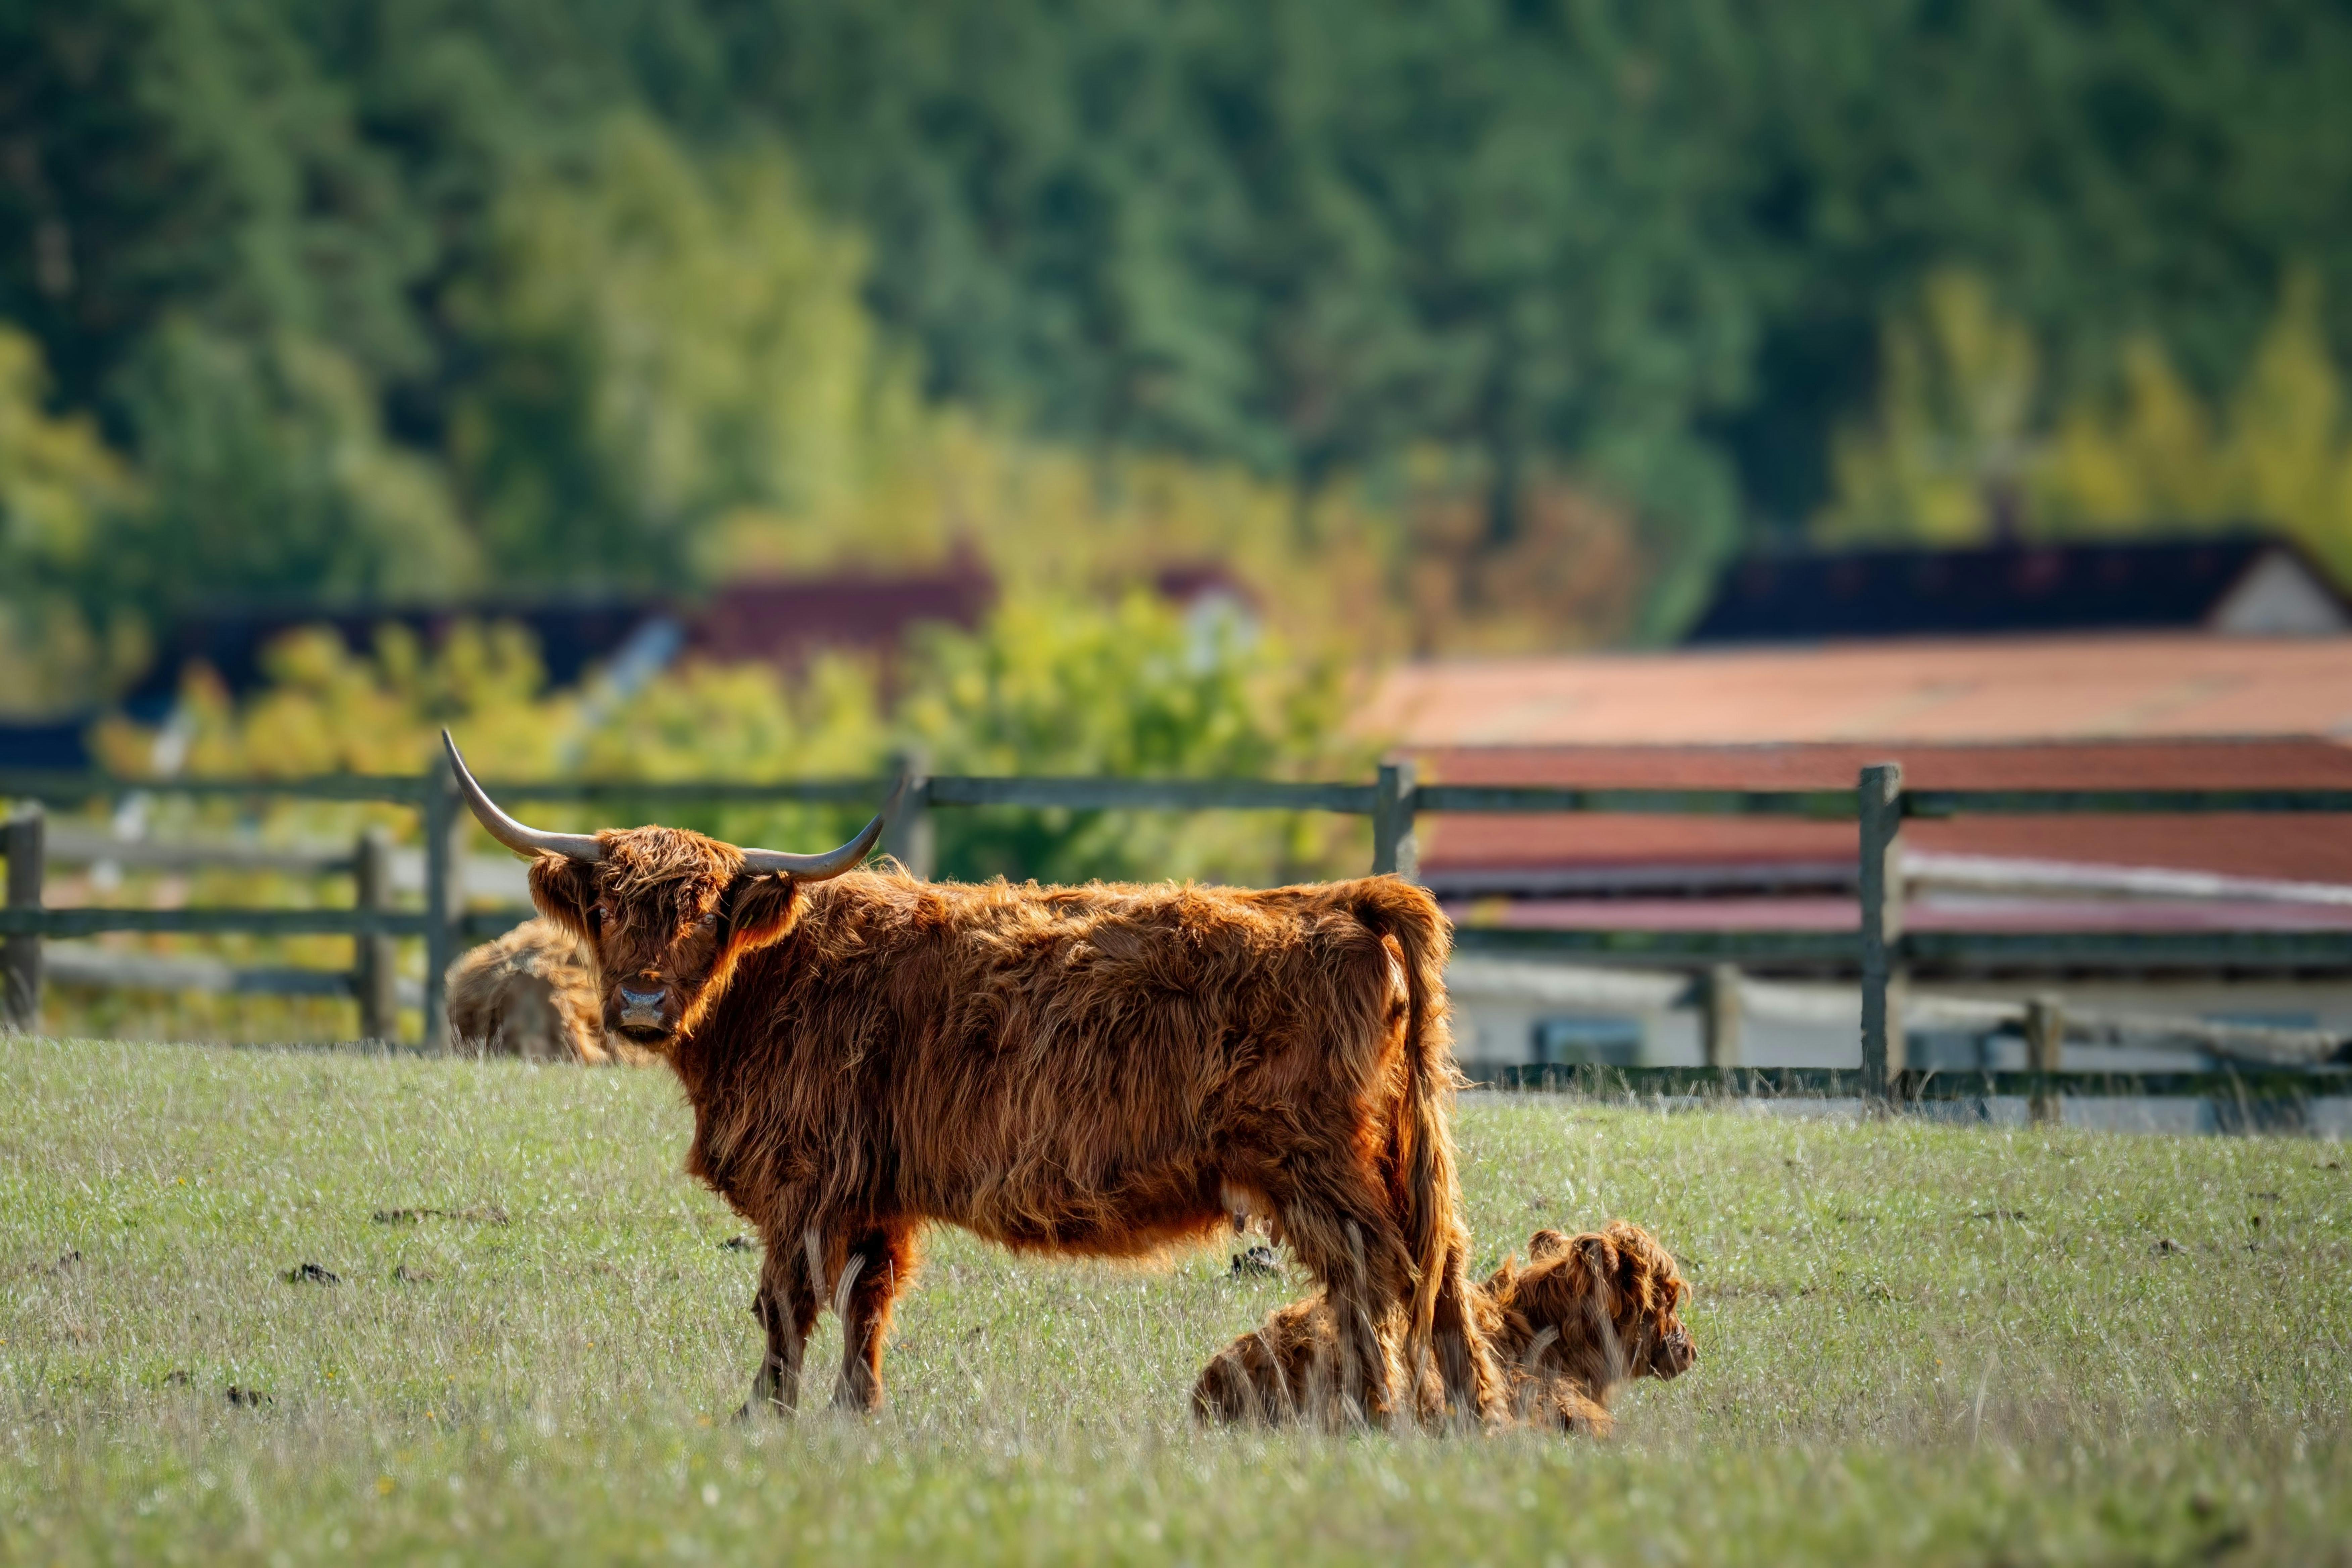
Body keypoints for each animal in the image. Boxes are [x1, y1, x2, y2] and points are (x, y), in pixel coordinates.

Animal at [441, 732, 1500, 1425]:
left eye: (703, 910)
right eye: (612, 907)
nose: (641, 1004)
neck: (772, 984)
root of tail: (1346, 900)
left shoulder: (803, 1178)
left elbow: (785, 1303)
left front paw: (761, 1417)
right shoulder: (875, 1189)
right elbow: (867, 1305)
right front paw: (854, 1416)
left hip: (1315, 1162)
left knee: (1380, 1272)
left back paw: (1373, 1414)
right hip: (1388, 1147)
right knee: (1435, 1261)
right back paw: (1461, 1416)